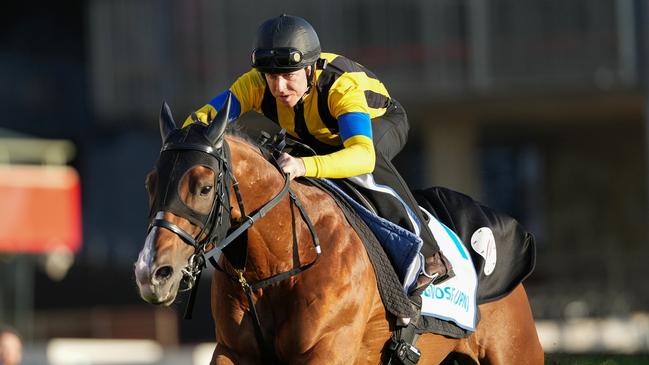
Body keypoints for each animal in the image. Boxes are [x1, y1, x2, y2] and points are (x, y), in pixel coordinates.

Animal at [134, 98, 544, 362]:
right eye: (150, 184)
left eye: (204, 187)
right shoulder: (234, 351)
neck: (278, 265)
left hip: (515, 352)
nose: (151, 273)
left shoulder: (326, 349)